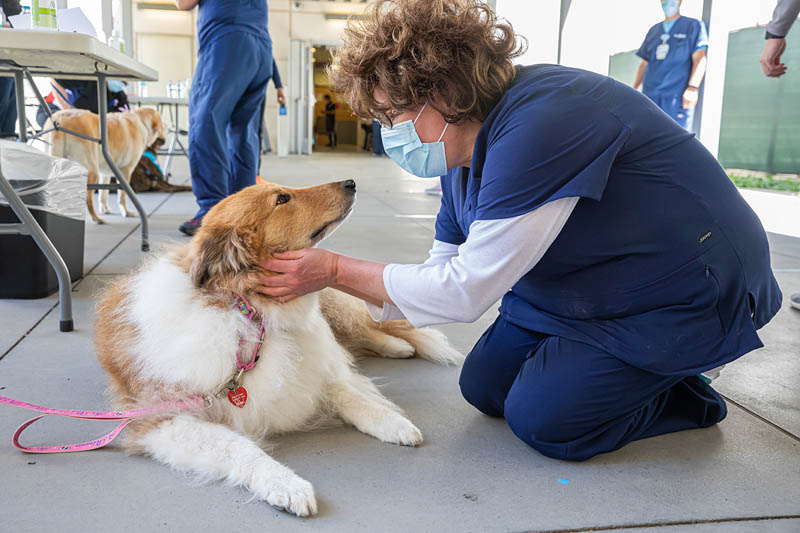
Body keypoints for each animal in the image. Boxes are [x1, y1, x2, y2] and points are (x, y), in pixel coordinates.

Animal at [94, 179, 462, 516]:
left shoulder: (317, 371)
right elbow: (240, 447)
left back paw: (397, 346)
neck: (254, 314)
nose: (351, 182)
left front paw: (395, 424)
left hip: (337, 307)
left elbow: (351, 395)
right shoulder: (160, 420)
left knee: (369, 330)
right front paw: (286, 485)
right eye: (282, 199)